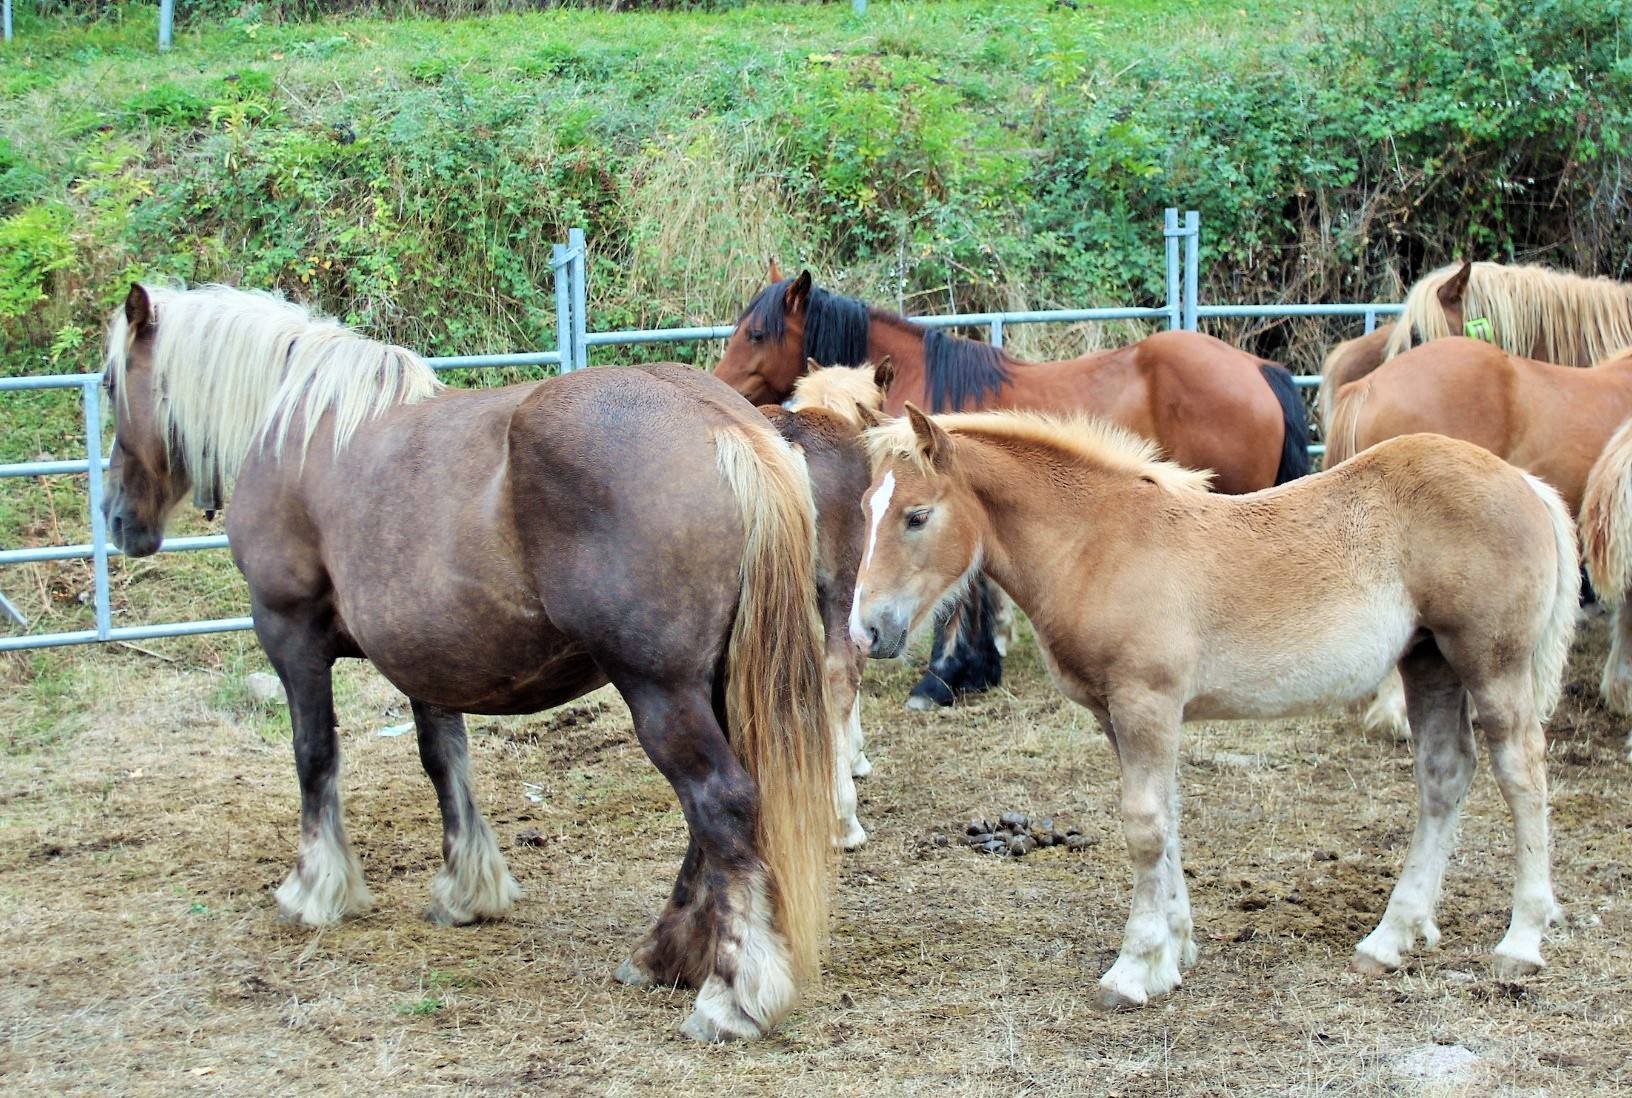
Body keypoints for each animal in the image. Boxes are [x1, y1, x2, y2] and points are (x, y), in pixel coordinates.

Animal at [103, 280, 842, 1037]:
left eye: (107, 384)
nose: (118, 519)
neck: (301, 430)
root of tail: (728, 429)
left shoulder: (290, 635)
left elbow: (315, 756)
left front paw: (315, 887)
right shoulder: (427, 660)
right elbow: (444, 761)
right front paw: (468, 889)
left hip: (662, 691)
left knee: (720, 803)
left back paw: (730, 993)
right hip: (712, 686)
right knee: (713, 822)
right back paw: (664, 954)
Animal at [718, 267, 1312, 711]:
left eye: (756, 333)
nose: (722, 386)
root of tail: (1259, 367)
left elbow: (960, 597)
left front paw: (943, 677)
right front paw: (978, 667)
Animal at [848, 406, 1573, 1005]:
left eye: (917, 515)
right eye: (865, 507)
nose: (867, 631)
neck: (1098, 543)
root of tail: (1524, 482)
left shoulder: (1146, 701)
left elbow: (1143, 826)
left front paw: (1132, 970)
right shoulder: (1121, 716)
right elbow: (1166, 818)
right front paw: (1174, 952)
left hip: (1492, 665)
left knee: (1523, 773)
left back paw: (1521, 941)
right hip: (1428, 662)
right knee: (1445, 775)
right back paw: (1391, 938)